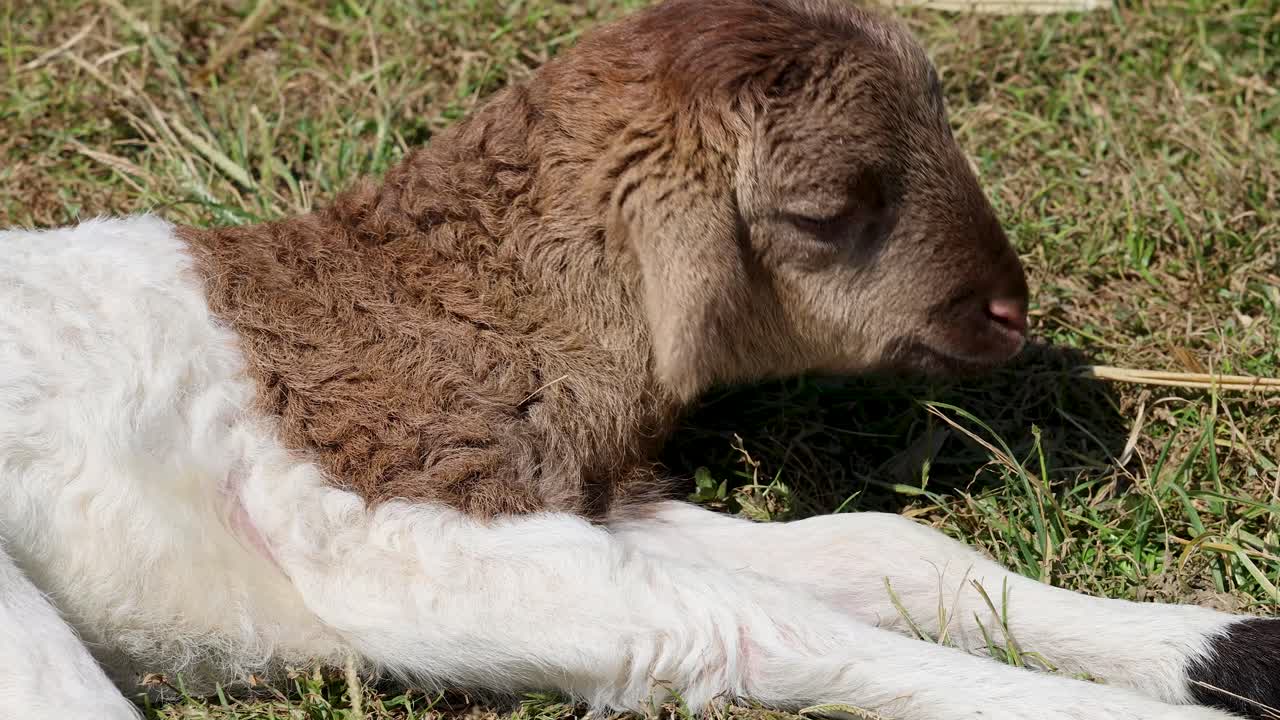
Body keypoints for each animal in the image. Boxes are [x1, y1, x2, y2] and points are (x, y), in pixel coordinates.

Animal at [0, 1, 1274, 719]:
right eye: (826, 213)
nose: (1008, 312)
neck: (450, 305)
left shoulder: (574, 496)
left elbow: (882, 551)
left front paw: (1229, 653)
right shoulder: (396, 536)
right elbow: (744, 629)